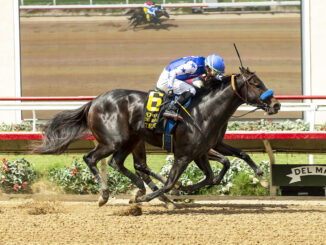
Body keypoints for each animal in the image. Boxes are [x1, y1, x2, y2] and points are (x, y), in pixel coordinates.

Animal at [35, 66, 280, 205]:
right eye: (256, 83)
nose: (276, 104)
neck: (205, 110)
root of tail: (93, 101)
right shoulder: (184, 154)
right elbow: (172, 182)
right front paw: (156, 196)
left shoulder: (204, 149)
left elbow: (230, 162)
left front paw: (261, 176)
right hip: (114, 141)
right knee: (92, 159)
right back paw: (107, 194)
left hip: (131, 141)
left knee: (121, 163)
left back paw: (140, 190)